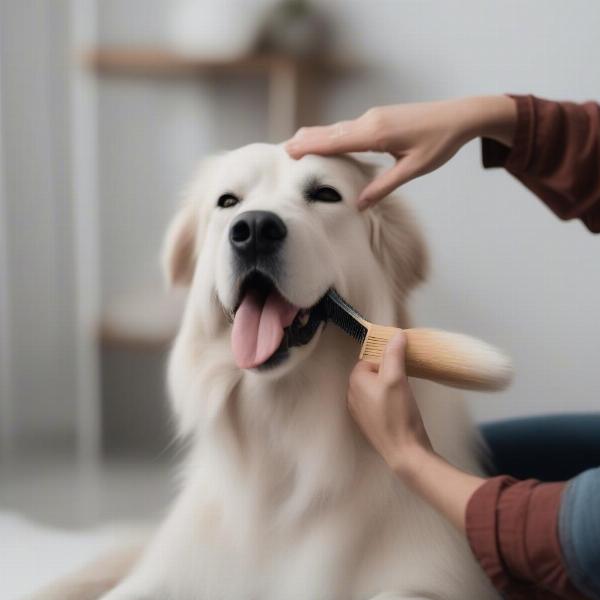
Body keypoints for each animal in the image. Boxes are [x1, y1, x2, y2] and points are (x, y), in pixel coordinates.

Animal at [51, 145, 502, 600]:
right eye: (228, 202)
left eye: (325, 194)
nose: (253, 229)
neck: (284, 426)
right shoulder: (175, 569)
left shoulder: (434, 576)